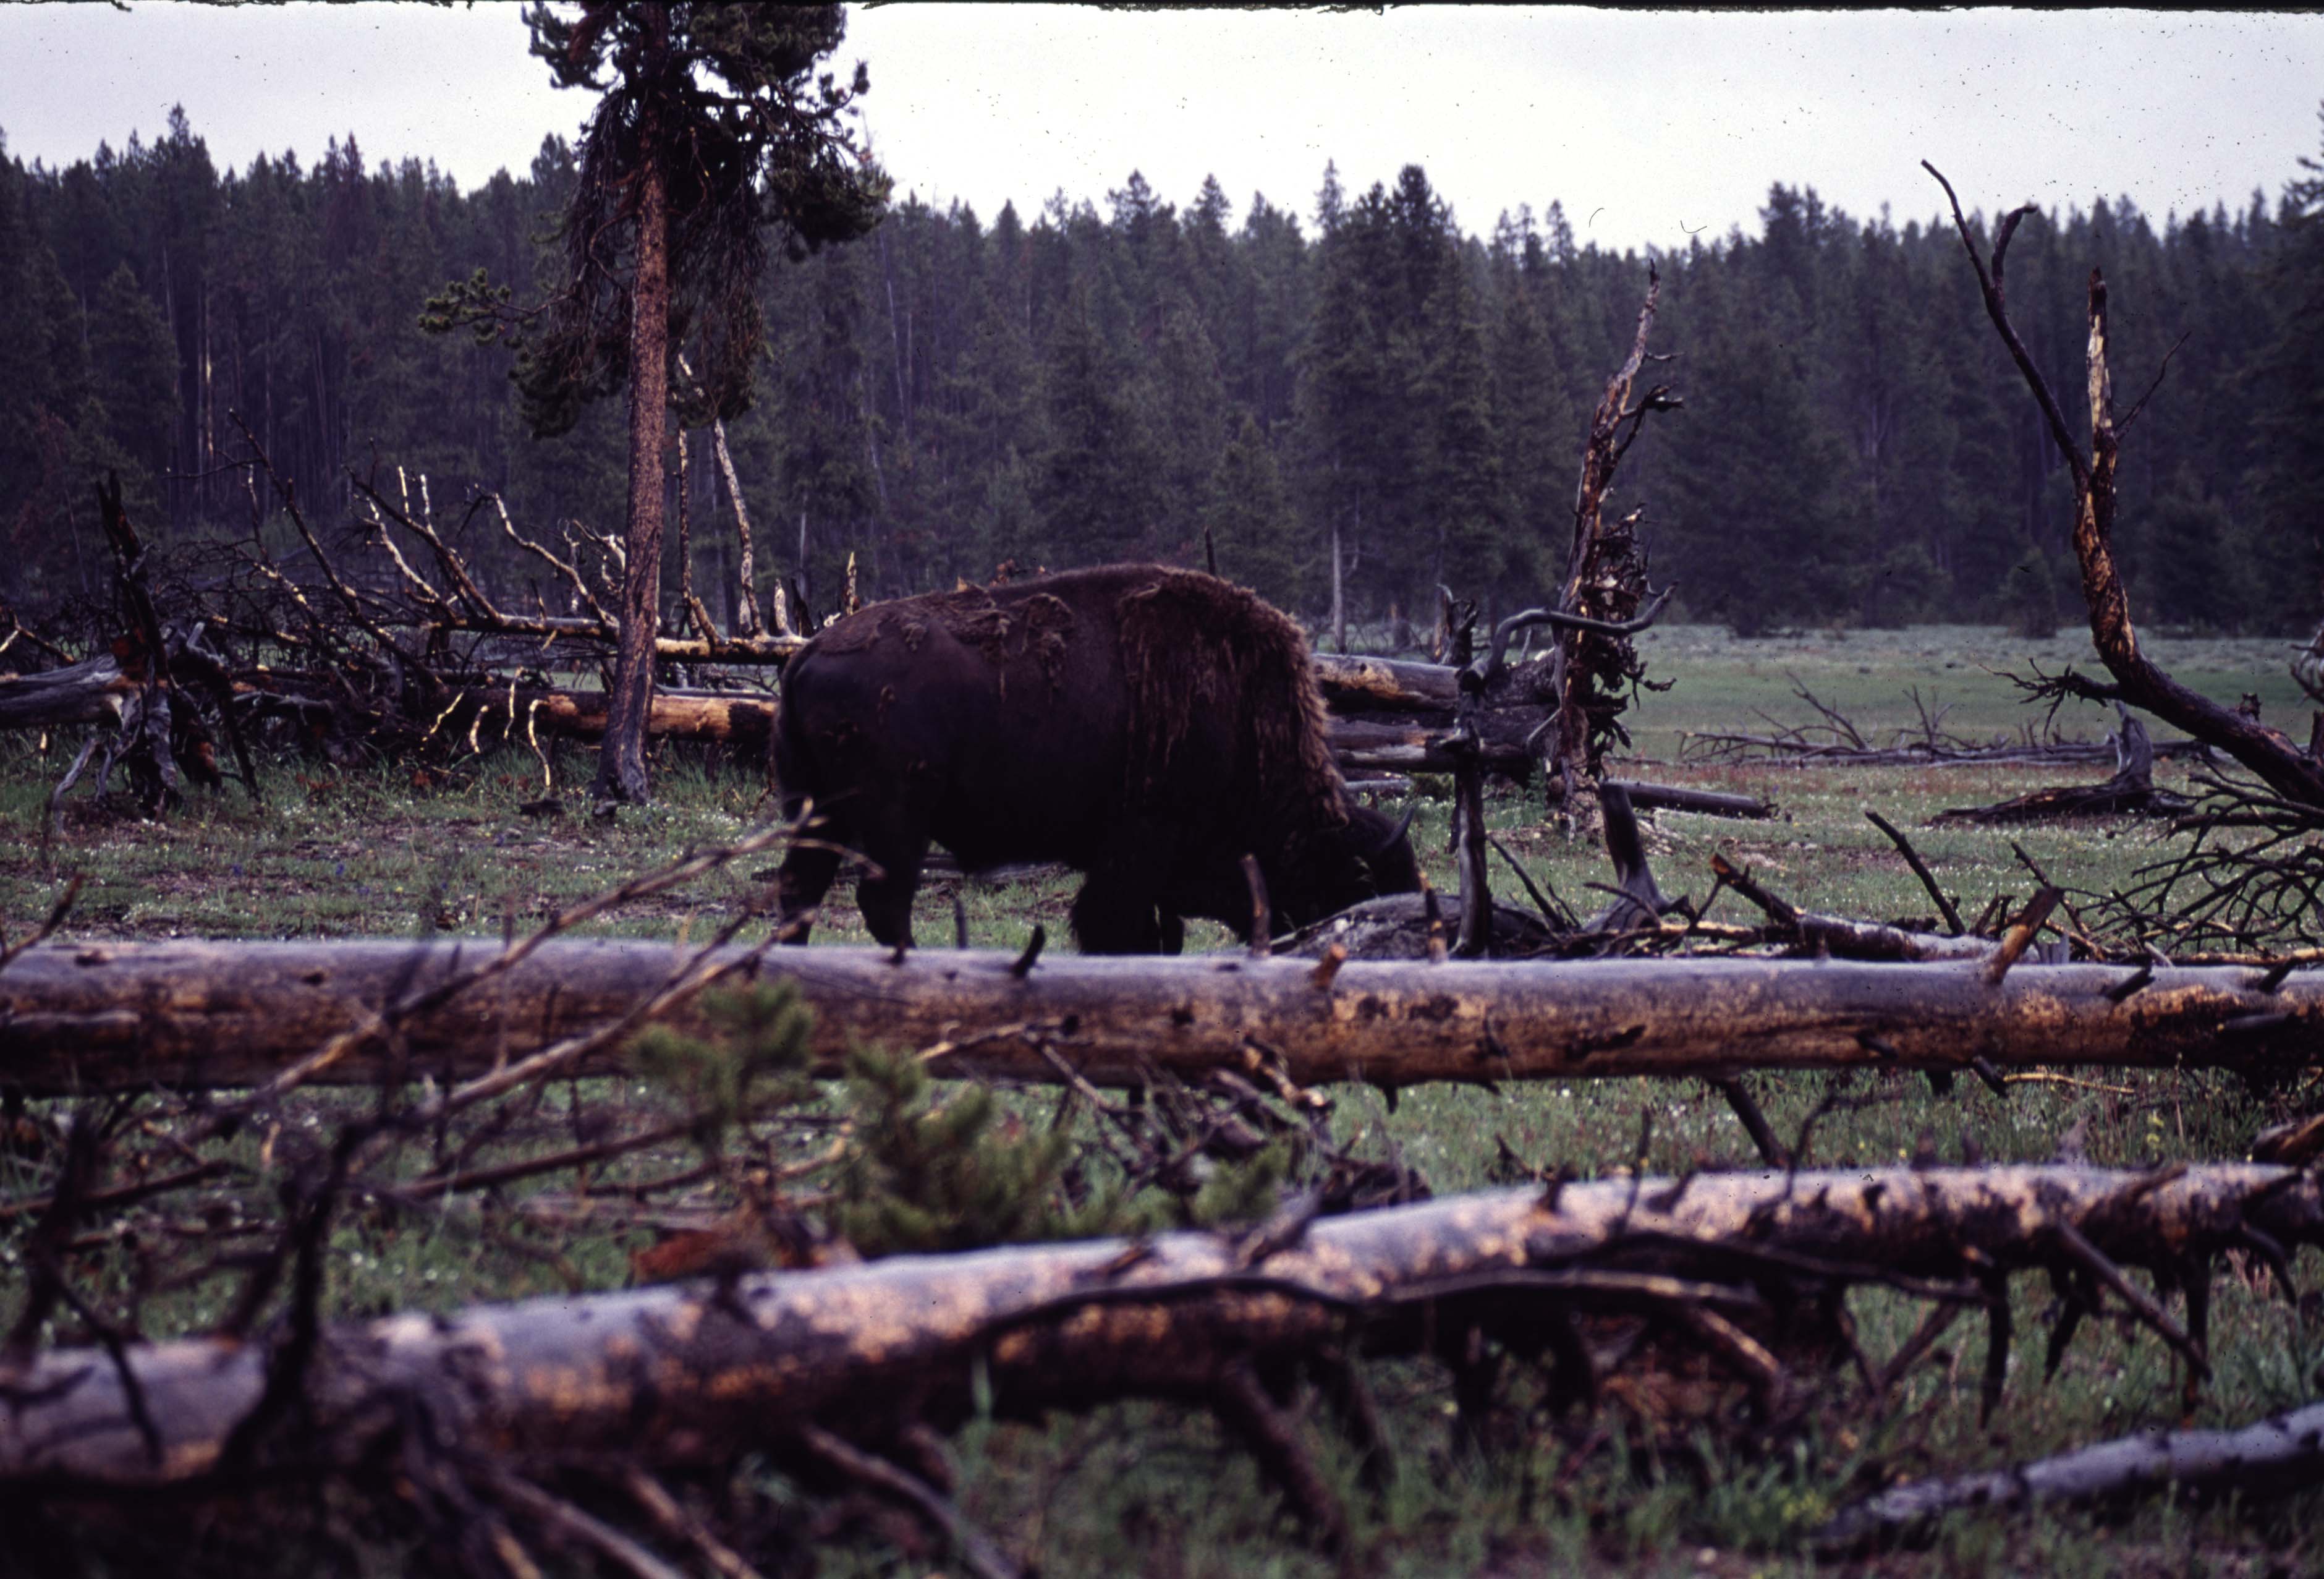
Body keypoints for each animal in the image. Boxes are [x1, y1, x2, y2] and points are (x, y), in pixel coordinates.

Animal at [771, 564, 1420, 952]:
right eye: (1353, 887)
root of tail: (806, 655)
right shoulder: (1140, 846)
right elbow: (1117, 924)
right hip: (896, 821)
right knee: (883, 901)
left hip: (818, 812)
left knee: (801, 892)